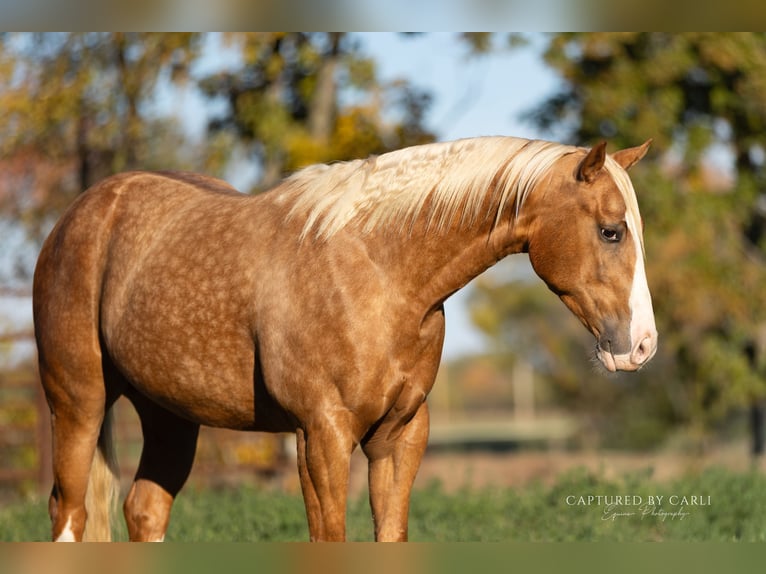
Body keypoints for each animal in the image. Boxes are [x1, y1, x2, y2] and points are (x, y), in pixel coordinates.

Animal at [33, 136, 657, 542]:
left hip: (170, 416)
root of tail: (84, 211)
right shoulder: (321, 435)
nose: (642, 345)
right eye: (610, 231)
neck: (380, 271)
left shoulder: (399, 436)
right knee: (69, 510)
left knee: (145, 512)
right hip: (79, 403)